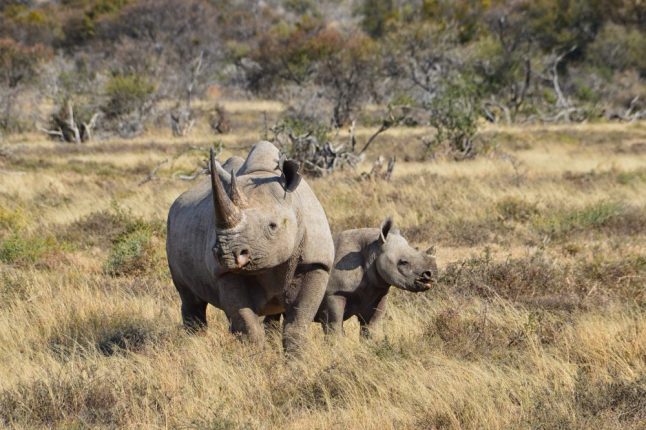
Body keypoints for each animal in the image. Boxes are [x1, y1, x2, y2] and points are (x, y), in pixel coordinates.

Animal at [167, 141, 336, 352]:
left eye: (273, 226)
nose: (226, 254)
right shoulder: (225, 273)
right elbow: (248, 326)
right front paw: (257, 358)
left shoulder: (315, 263)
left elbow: (298, 323)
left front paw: (296, 359)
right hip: (173, 226)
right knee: (191, 299)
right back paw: (194, 344)